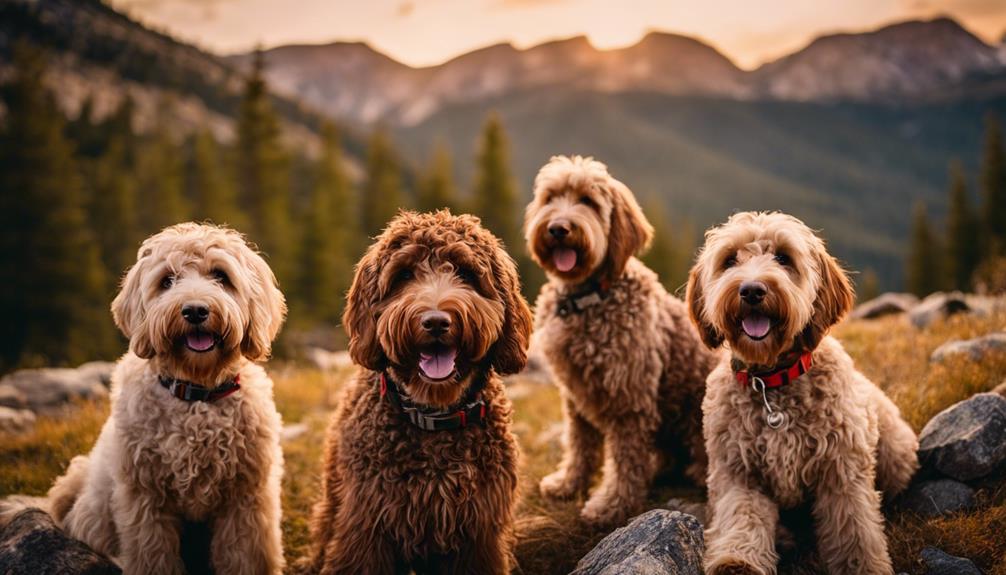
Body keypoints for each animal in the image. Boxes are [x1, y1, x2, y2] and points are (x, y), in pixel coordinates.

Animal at [6, 223, 291, 575]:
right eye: (167, 280)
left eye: (220, 276)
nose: (195, 310)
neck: (195, 394)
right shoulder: (144, 500)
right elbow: (153, 555)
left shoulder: (247, 500)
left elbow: (246, 557)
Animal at [303, 211, 535, 575]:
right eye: (404, 274)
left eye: (466, 273)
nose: (436, 321)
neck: (434, 417)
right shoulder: (366, 525)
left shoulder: (480, 532)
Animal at [527, 154, 716, 526]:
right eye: (551, 198)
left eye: (587, 201)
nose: (558, 228)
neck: (587, 299)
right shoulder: (574, 394)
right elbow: (581, 445)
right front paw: (568, 484)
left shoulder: (629, 398)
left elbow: (626, 462)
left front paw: (611, 506)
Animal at [684, 213, 921, 575]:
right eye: (730, 260)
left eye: (783, 258)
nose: (751, 290)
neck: (772, 382)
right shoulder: (738, 472)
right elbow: (741, 515)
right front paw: (737, 560)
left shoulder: (842, 470)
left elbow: (854, 529)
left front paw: (862, 566)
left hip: (896, 450)